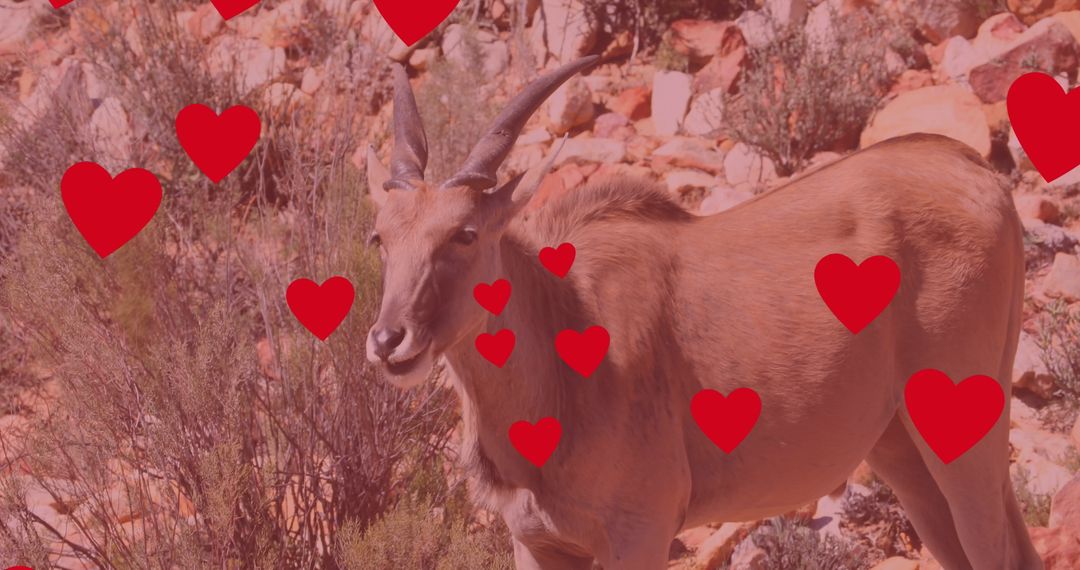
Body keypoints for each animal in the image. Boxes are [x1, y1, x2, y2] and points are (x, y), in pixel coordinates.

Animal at [363, 56, 1043, 569]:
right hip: (903, 449)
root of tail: (982, 175)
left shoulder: (640, 531)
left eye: (466, 234)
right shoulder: (538, 543)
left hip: (963, 435)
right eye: (379, 237)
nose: (389, 340)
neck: (564, 327)